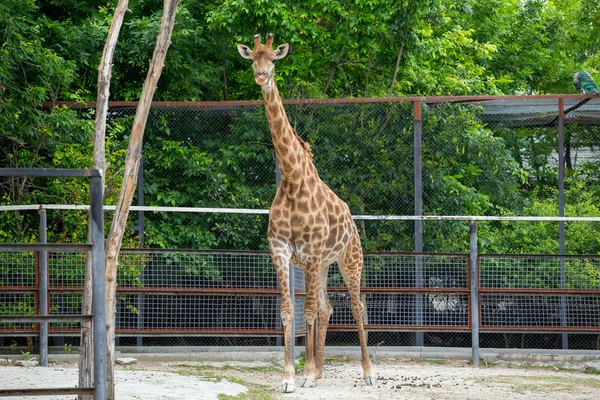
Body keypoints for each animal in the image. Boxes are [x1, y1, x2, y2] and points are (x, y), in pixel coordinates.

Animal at [237, 33, 372, 390]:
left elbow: (307, 310)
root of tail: (353, 222)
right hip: (324, 265)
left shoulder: (310, 251)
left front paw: (306, 374)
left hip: (350, 259)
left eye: (273, 59)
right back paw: (321, 370)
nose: (261, 76)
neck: (292, 180)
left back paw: (367, 372)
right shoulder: (281, 250)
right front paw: (290, 377)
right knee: (328, 308)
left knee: (357, 306)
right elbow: (288, 310)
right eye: (252, 59)